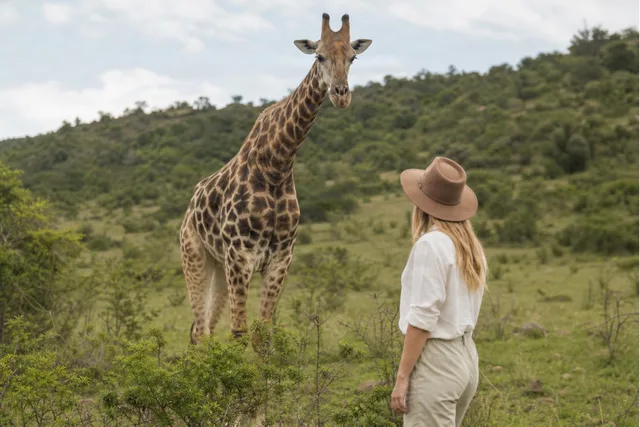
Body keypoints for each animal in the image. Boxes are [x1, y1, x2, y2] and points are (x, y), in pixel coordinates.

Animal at [179, 12, 372, 348]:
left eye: (353, 57)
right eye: (319, 56)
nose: (341, 94)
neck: (277, 166)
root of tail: (190, 208)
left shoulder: (281, 259)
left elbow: (264, 333)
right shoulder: (240, 257)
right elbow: (240, 333)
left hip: (218, 264)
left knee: (202, 331)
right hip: (194, 256)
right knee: (201, 333)